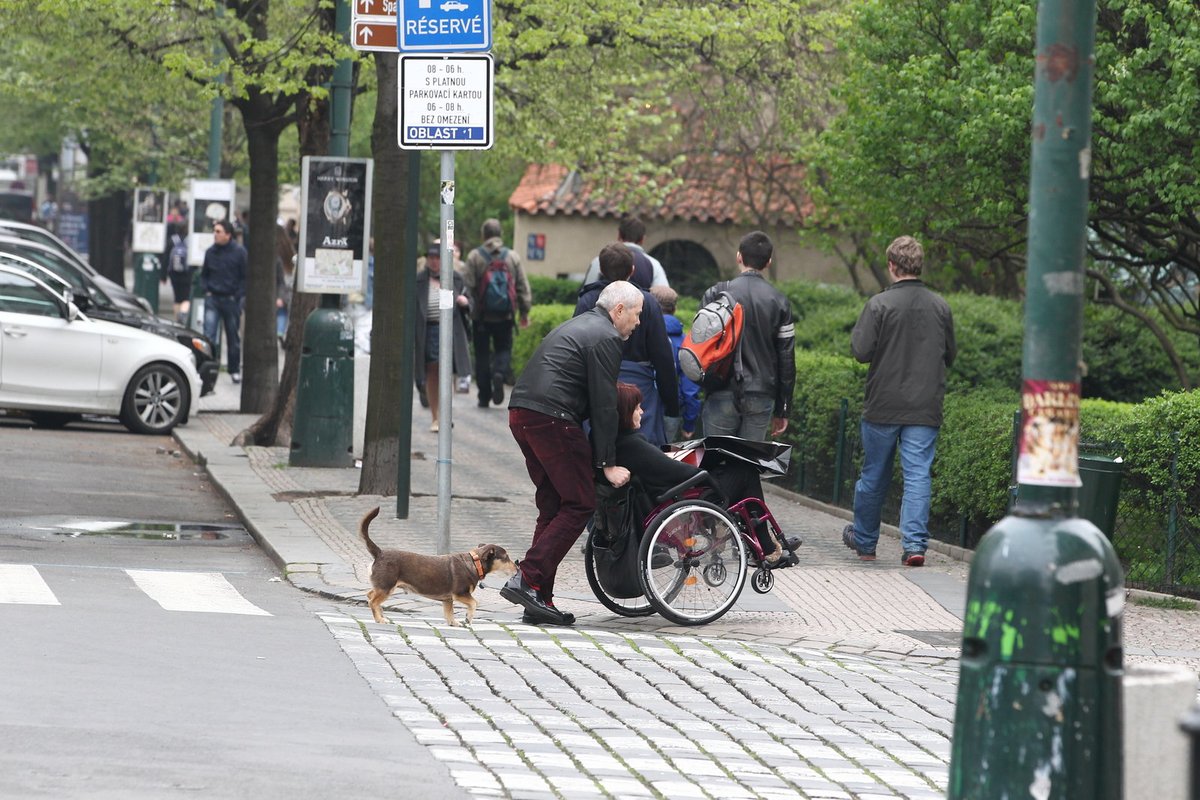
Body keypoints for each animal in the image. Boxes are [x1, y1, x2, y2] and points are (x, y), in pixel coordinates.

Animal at [360, 506, 520, 623]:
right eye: (506, 557)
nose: (518, 567)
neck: (475, 563)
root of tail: (379, 553)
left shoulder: (448, 600)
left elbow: (449, 614)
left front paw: (454, 624)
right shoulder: (460, 594)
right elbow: (474, 603)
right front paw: (468, 618)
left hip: (383, 587)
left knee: (370, 595)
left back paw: (381, 613)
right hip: (386, 588)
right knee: (372, 602)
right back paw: (380, 619)